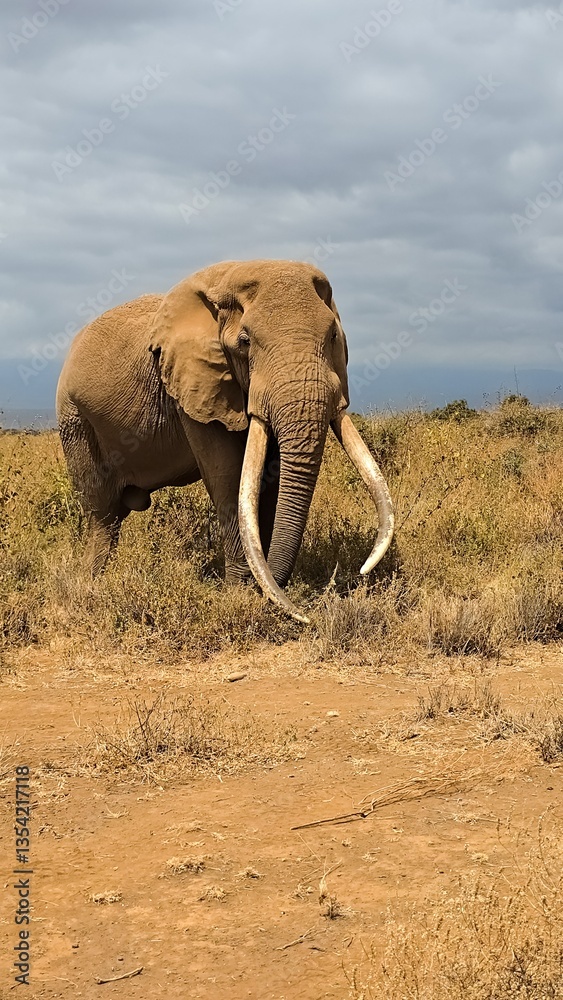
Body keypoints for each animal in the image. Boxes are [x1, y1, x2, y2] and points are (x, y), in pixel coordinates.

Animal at [56, 259, 394, 622]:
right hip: (75, 419)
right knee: (103, 513)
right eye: (244, 341)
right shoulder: (194, 384)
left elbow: (270, 479)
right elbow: (227, 474)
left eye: (333, 335)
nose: (305, 613)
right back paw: (91, 585)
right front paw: (241, 592)